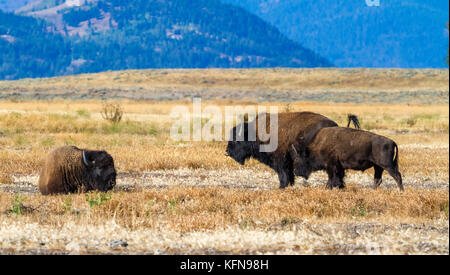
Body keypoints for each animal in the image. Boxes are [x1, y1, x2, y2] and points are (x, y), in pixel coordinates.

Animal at [225, 112, 358, 190]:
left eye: (237, 138)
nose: (227, 152)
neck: (255, 132)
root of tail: (334, 126)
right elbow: (289, 174)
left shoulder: (280, 160)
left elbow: (283, 174)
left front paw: (282, 186)